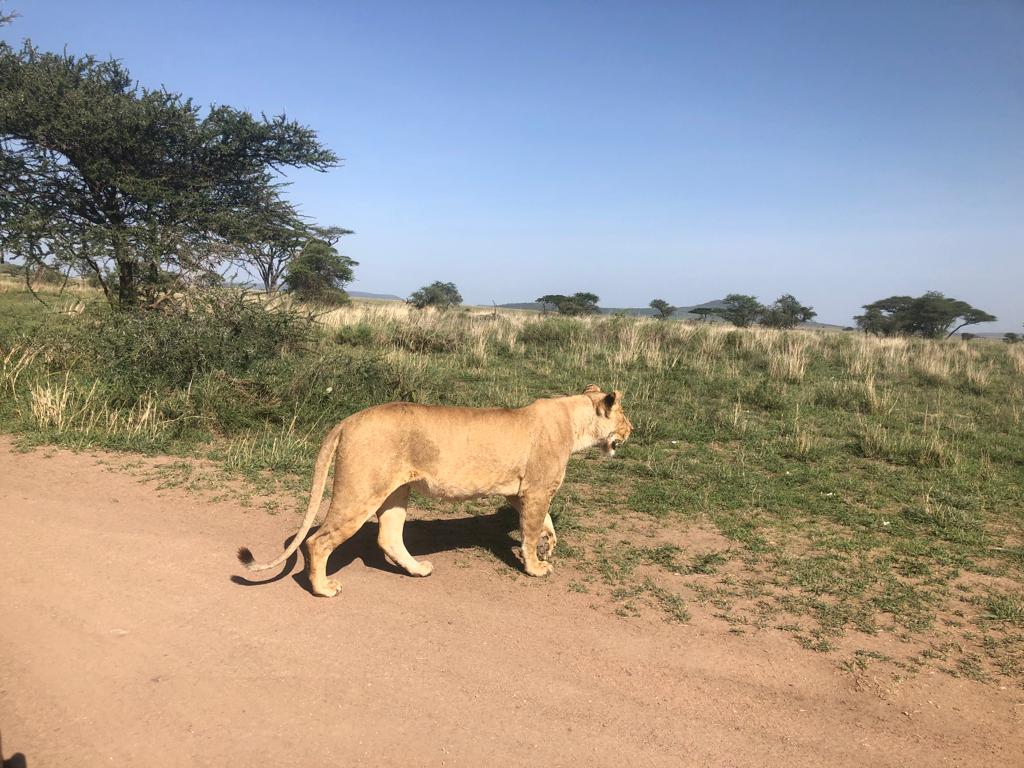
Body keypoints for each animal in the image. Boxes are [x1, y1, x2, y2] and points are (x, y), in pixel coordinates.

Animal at [237, 384, 632, 597]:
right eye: (624, 416)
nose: (632, 431)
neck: (574, 423)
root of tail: (348, 420)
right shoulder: (535, 490)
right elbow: (532, 530)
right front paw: (535, 566)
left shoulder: (519, 493)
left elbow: (545, 523)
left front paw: (550, 545)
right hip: (361, 490)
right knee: (317, 541)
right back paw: (324, 588)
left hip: (396, 492)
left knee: (388, 537)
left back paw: (417, 570)